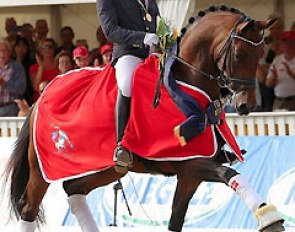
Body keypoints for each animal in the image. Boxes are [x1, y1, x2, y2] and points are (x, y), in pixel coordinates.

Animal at [2, 5, 286, 232]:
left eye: (262, 54)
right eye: (238, 54)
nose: (246, 105)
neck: (185, 87)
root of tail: (41, 95)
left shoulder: (190, 174)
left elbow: (176, 222)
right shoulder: (190, 164)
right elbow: (229, 173)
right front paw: (269, 218)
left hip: (107, 169)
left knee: (74, 190)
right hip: (42, 170)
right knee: (28, 208)